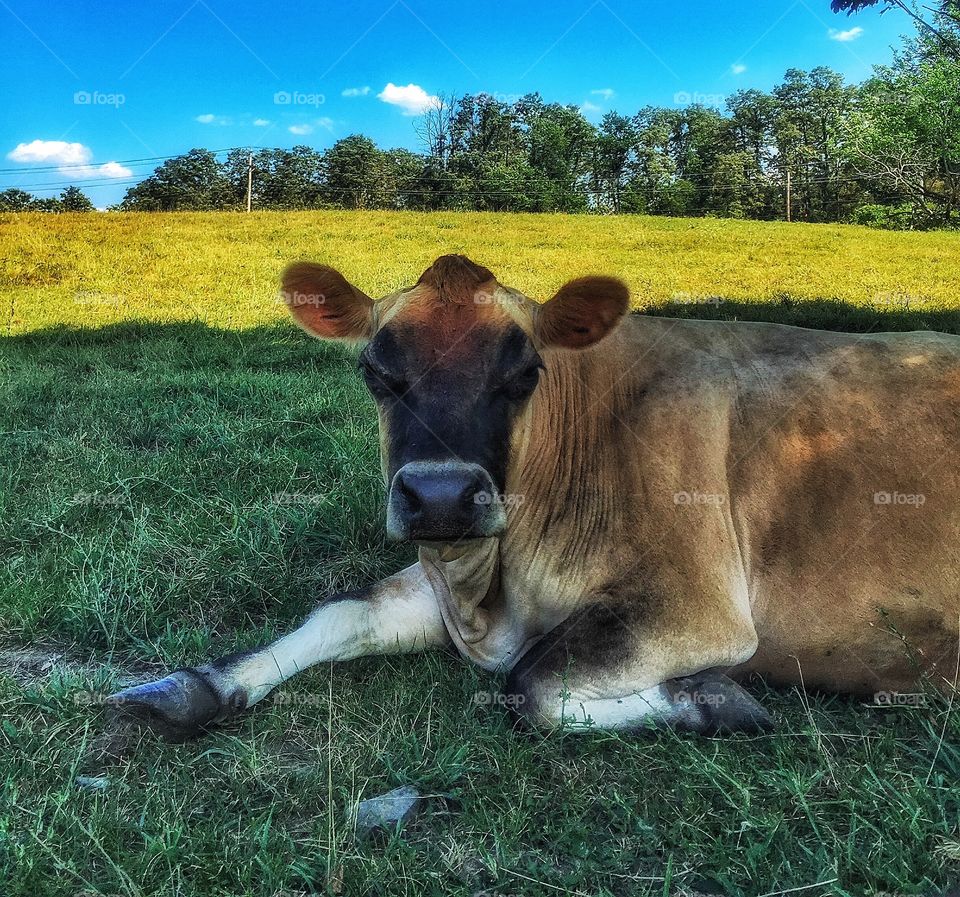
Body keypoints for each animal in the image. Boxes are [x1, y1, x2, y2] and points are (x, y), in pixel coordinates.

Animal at [109, 254, 960, 744]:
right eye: (376, 372)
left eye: (523, 374)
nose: (442, 494)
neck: (498, 590)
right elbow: (343, 610)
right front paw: (196, 684)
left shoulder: (695, 604)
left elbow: (531, 688)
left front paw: (712, 700)